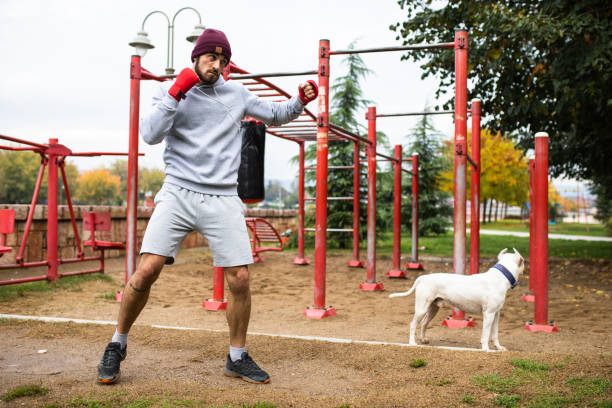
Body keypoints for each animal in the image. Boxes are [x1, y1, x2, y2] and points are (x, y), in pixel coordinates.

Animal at [390, 249, 524, 350]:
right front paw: (486, 349)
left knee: (424, 323)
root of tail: (422, 278)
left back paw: (423, 339)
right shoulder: (489, 314)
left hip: (433, 308)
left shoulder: (496, 314)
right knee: (413, 324)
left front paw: (499, 347)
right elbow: (486, 334)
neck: (500, 276)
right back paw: (412, 343)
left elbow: (495, 334)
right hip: (421, 309)